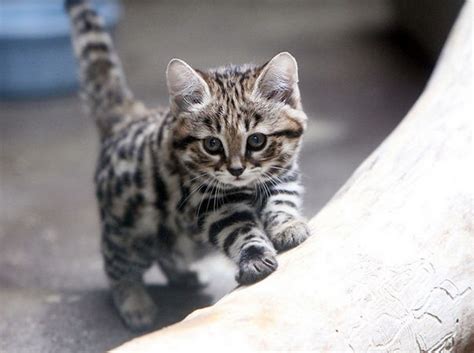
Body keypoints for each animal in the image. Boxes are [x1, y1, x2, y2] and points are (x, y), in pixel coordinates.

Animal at [65, 0, 312, 330]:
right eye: (212, 145)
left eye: (257, 140)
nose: (236, 170)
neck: (245, 186)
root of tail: (128, 119)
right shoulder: (210, 202)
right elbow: (240, 230)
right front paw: (254, 255)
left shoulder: (282, 175)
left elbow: (282, 200)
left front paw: (287, 226)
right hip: (130, 229)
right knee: (116, 265)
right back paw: (134, 302)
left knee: (168, 253)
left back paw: (181, 275)